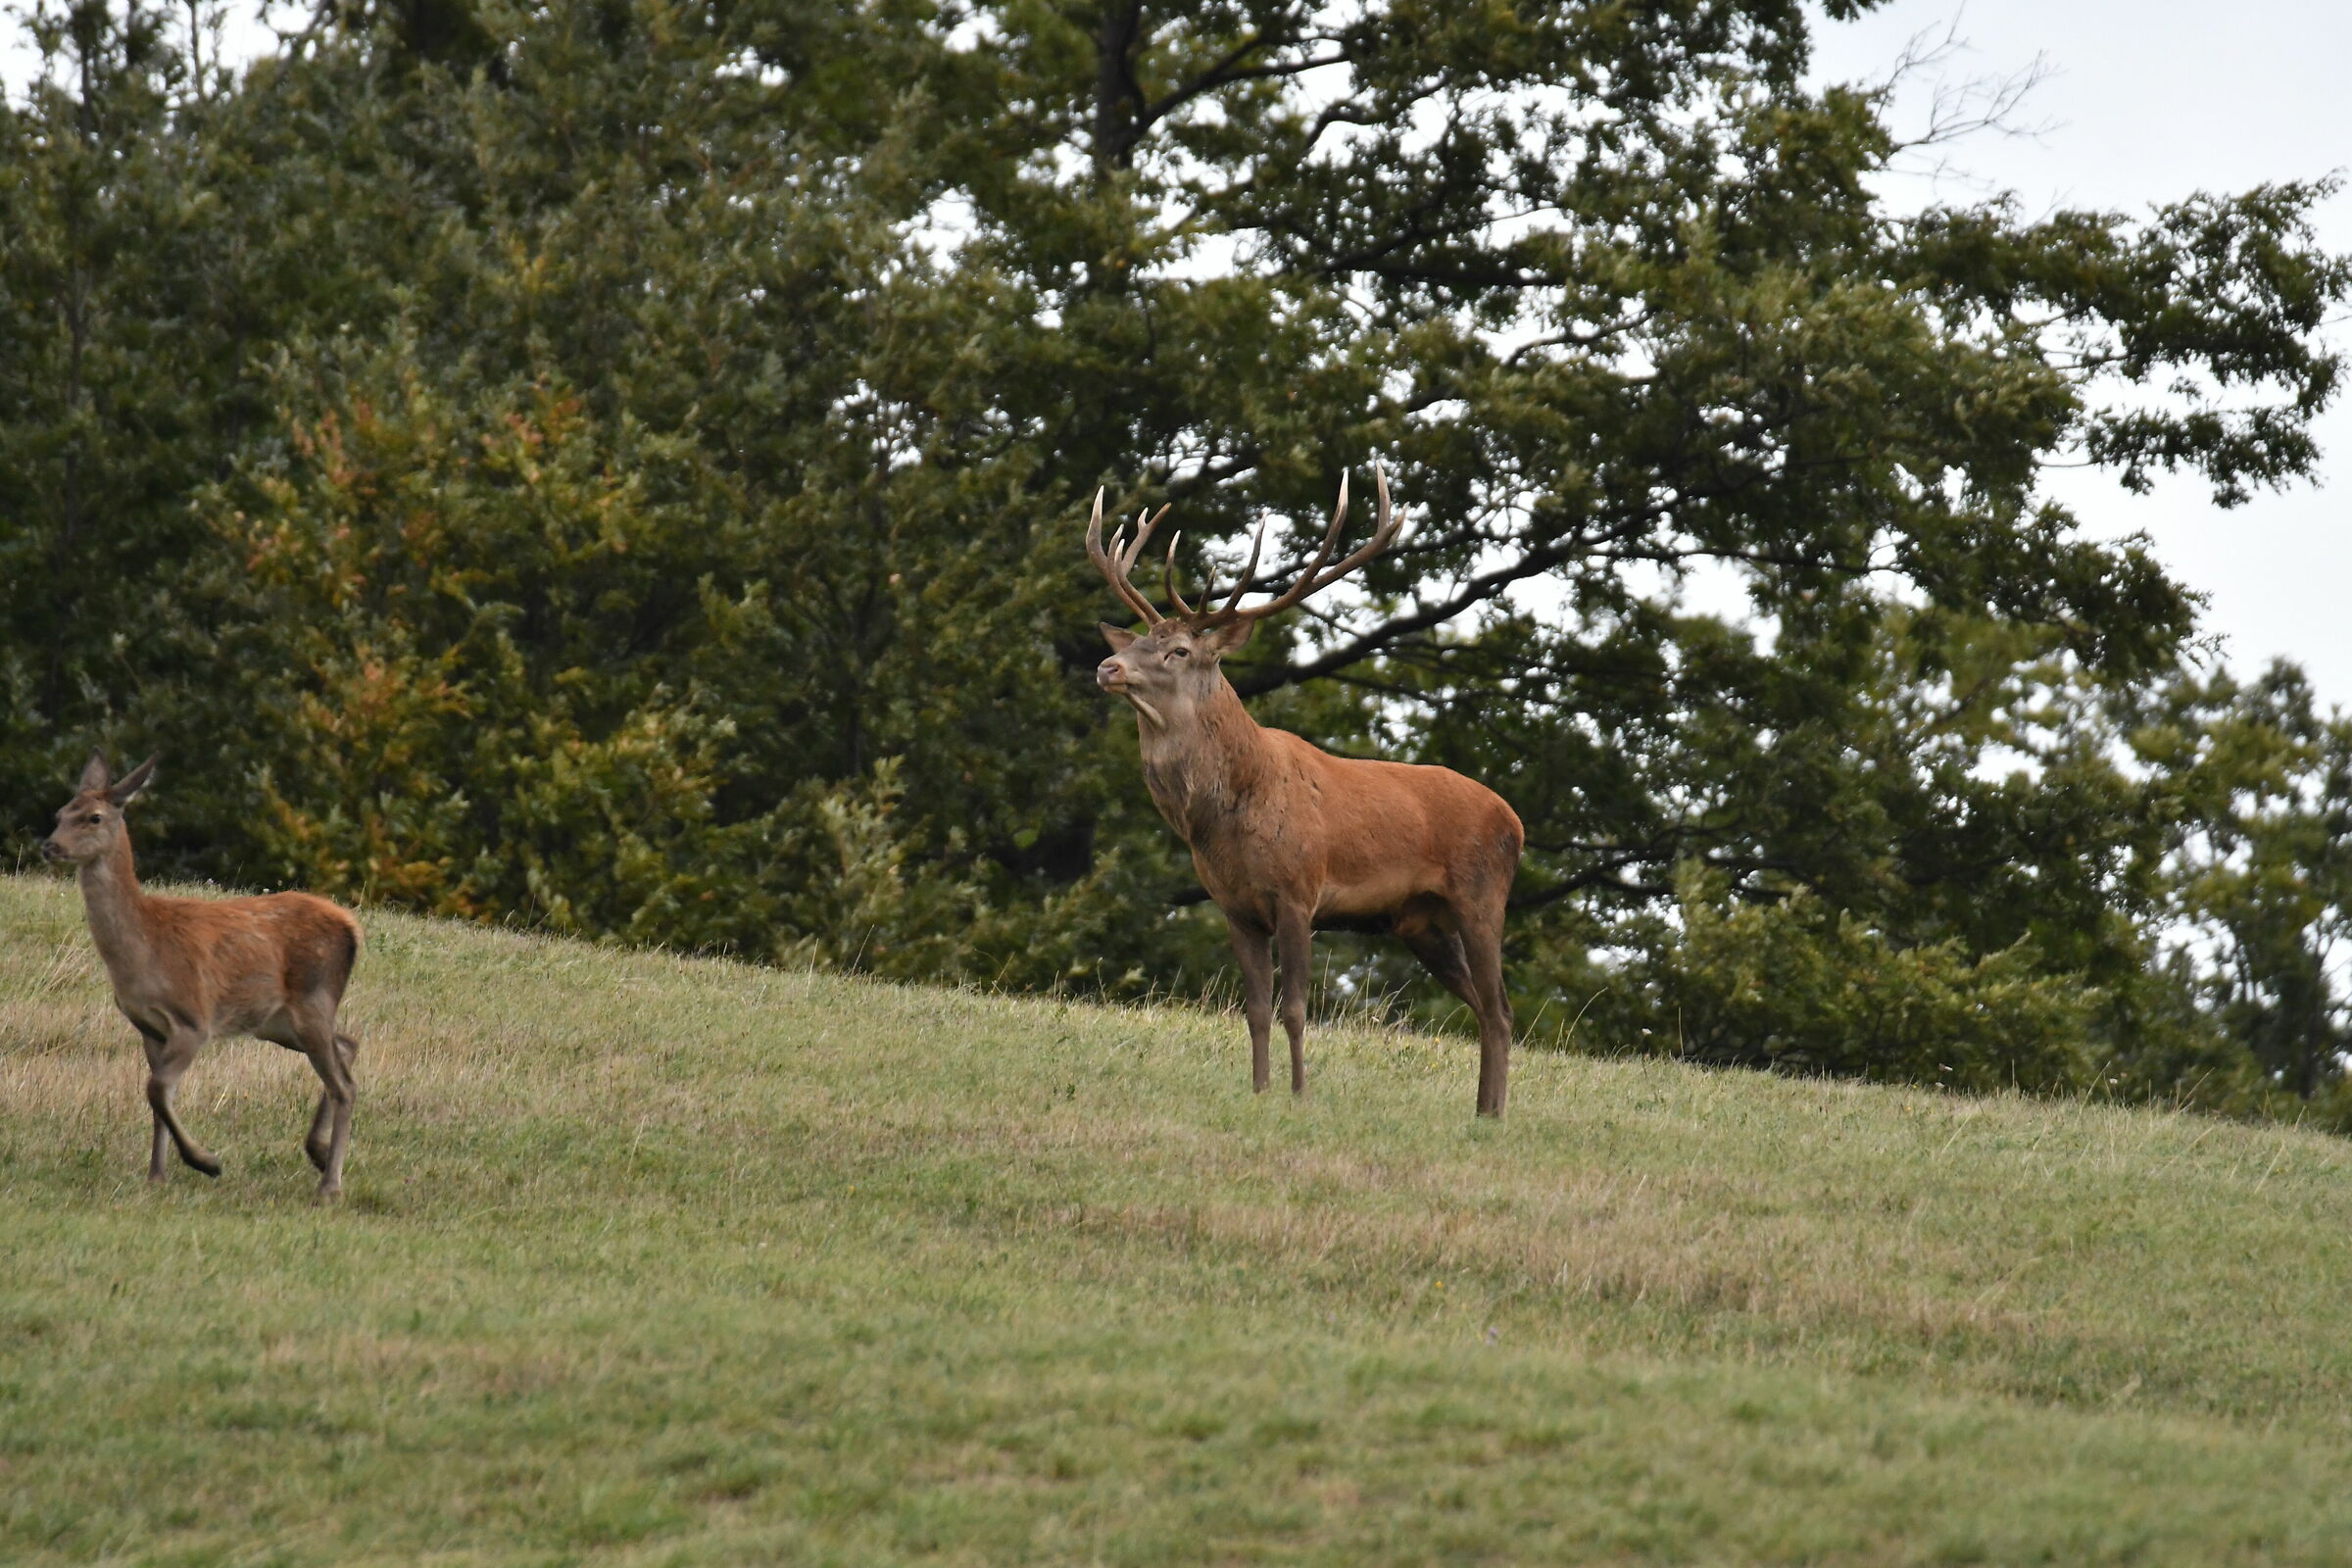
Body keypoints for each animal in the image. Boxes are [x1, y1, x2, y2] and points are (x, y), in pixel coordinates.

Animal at [42, 753, 365, 1201]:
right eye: (59, 814)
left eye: (94, 817)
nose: (50, 846)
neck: (144, 949)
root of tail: (351, 928)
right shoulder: (148, 1027)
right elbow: (156, 1096)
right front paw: (157, 1175)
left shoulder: (193, 1019)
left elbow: (156, 1089)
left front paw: (205, 1161)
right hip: (277, 1021)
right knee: (348, 1045)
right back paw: (317, 1152)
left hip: (312, 998)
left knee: (344, 1085)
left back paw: (329, 1185)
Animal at [1087, 462, 1524, 1116]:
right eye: (1136, 641)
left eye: (1179, 650)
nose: (1108, 667)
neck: (1222, 818)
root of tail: (1515, 822)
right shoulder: (1235, 907)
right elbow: (1255, 1012)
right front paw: (1260, 1090)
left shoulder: (1298, 891)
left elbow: (1294, 1009)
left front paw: (1297, 1095)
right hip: (1421, 923)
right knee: (1484, 1007)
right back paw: (1481, 1110)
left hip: (1482, 897)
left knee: (1499, 1009)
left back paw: (1492, 1115)